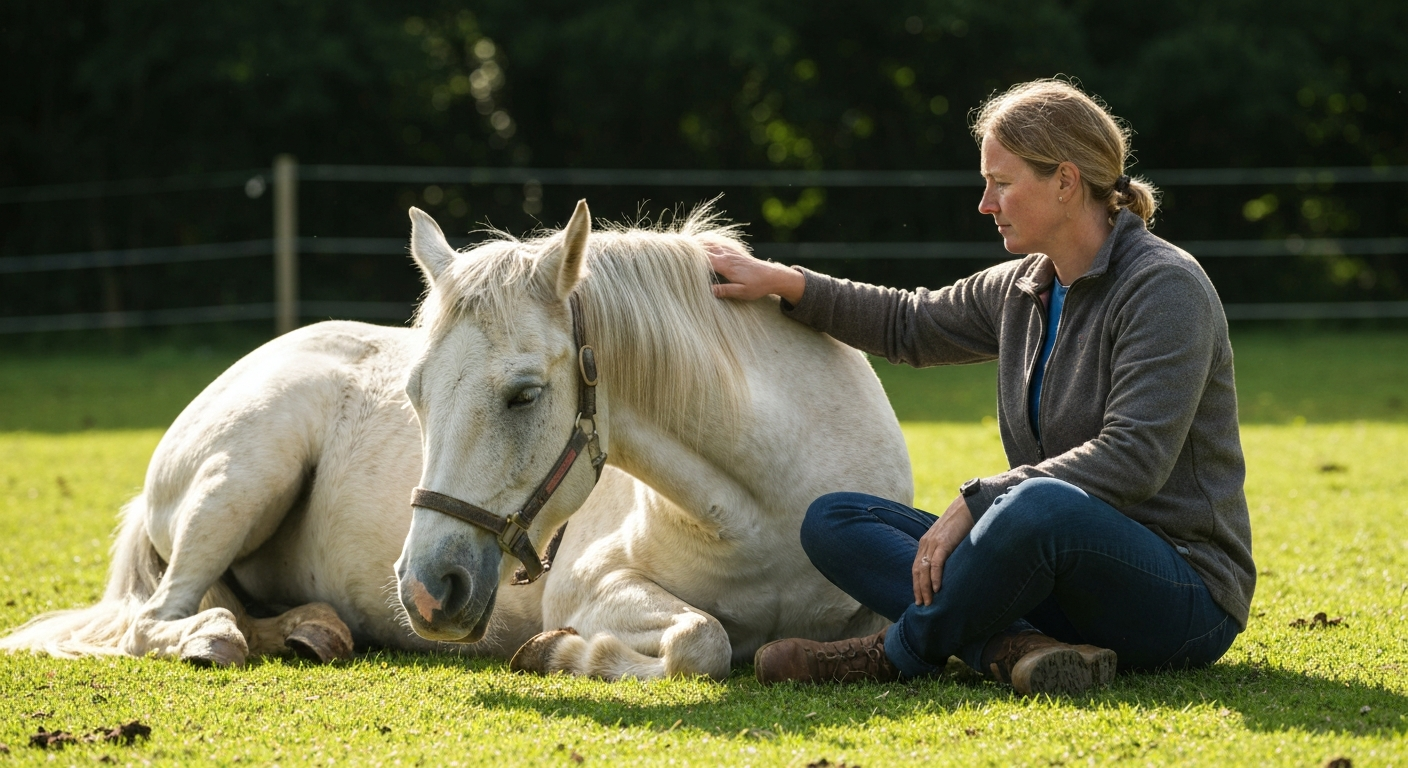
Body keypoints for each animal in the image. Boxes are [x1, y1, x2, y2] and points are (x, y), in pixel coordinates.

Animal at [2, 201, 912, 679]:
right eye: (414, 396)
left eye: (524, 394)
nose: (425, 590)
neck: (763, 510)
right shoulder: (593, 584)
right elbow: (703, 640)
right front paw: (563, 651)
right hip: (243, 478)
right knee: (161, 618)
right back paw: (217, 638)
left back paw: (309, 630)